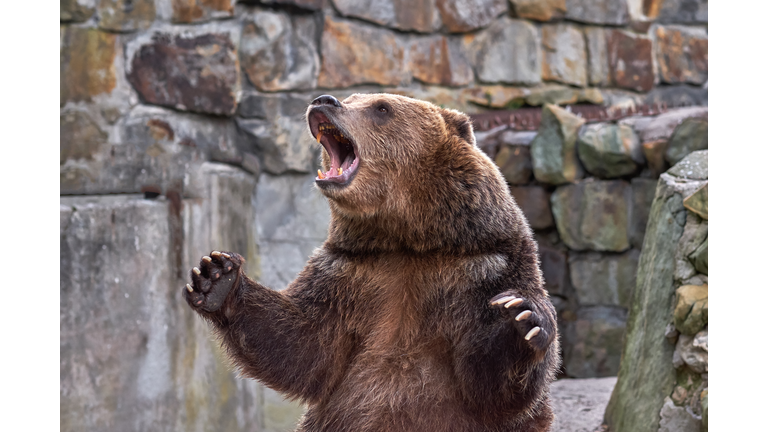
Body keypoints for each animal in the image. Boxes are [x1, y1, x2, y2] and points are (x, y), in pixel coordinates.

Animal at [184, 93, 560, 430]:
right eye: (352, 97)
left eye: (381, 108)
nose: (324, 100)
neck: (407, 239)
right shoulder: (349, 272)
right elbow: (303, 345)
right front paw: (216, 276)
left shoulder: (485, 267)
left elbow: (489, 386)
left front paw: (519, 319)